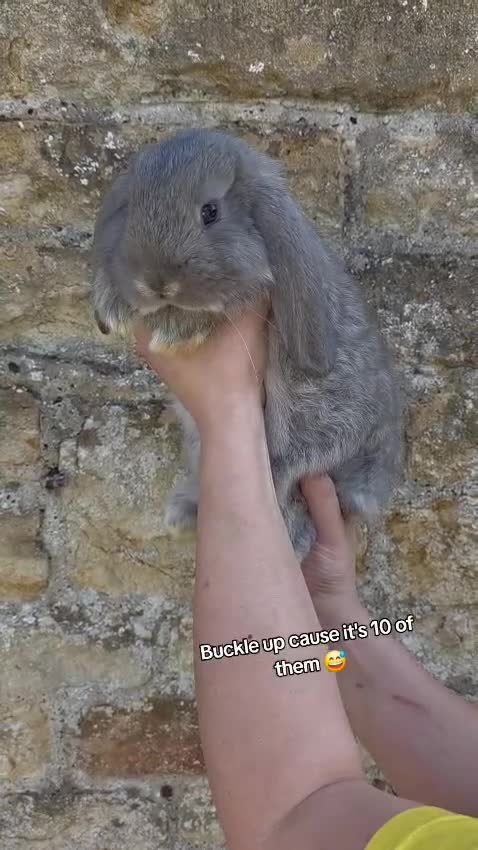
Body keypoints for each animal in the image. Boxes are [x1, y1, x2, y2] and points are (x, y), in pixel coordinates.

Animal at [92, 128, 401, 558]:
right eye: (132, 208)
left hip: (316, 425)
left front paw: (173, 327)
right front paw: (113, 303)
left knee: (290, 477)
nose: (156, 282)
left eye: (210, 211)